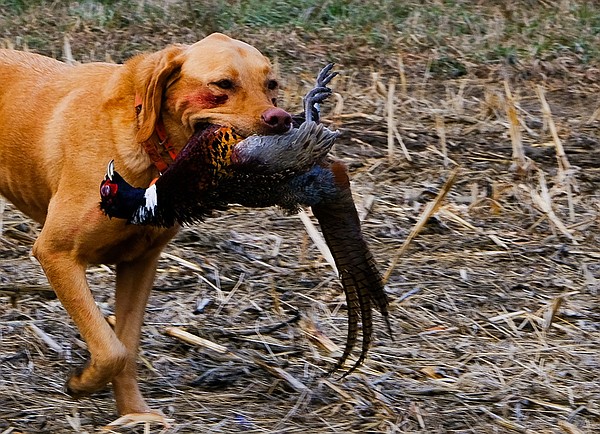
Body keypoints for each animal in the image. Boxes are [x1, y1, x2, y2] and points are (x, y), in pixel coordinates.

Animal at [0, 33, 292, 420]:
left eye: (271, 84)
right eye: (222, 85)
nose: (282, 119)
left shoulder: (139, 265)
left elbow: (127, 348)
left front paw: (134, 414)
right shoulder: (56, 253)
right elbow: (111, 349)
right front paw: (82, 383)